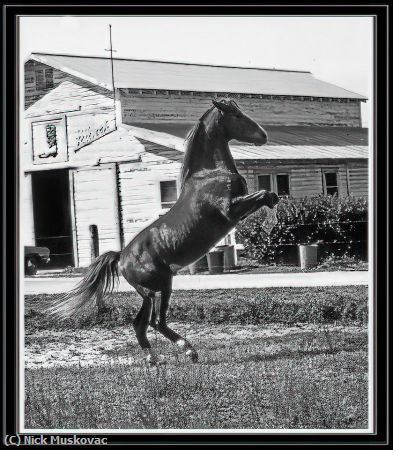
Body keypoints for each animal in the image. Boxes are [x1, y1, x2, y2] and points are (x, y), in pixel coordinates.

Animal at [47, 99, 278, 366]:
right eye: (237, 115)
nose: (263, 135)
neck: (210, 174)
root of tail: (121, 257)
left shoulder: (239, 213)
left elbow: (269, 197)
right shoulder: (231, 210)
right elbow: (265, 195)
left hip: (152, 292)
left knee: (141, 324)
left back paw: (153, 359)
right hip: (158, 288)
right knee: (155, 322)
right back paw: (188, 351)